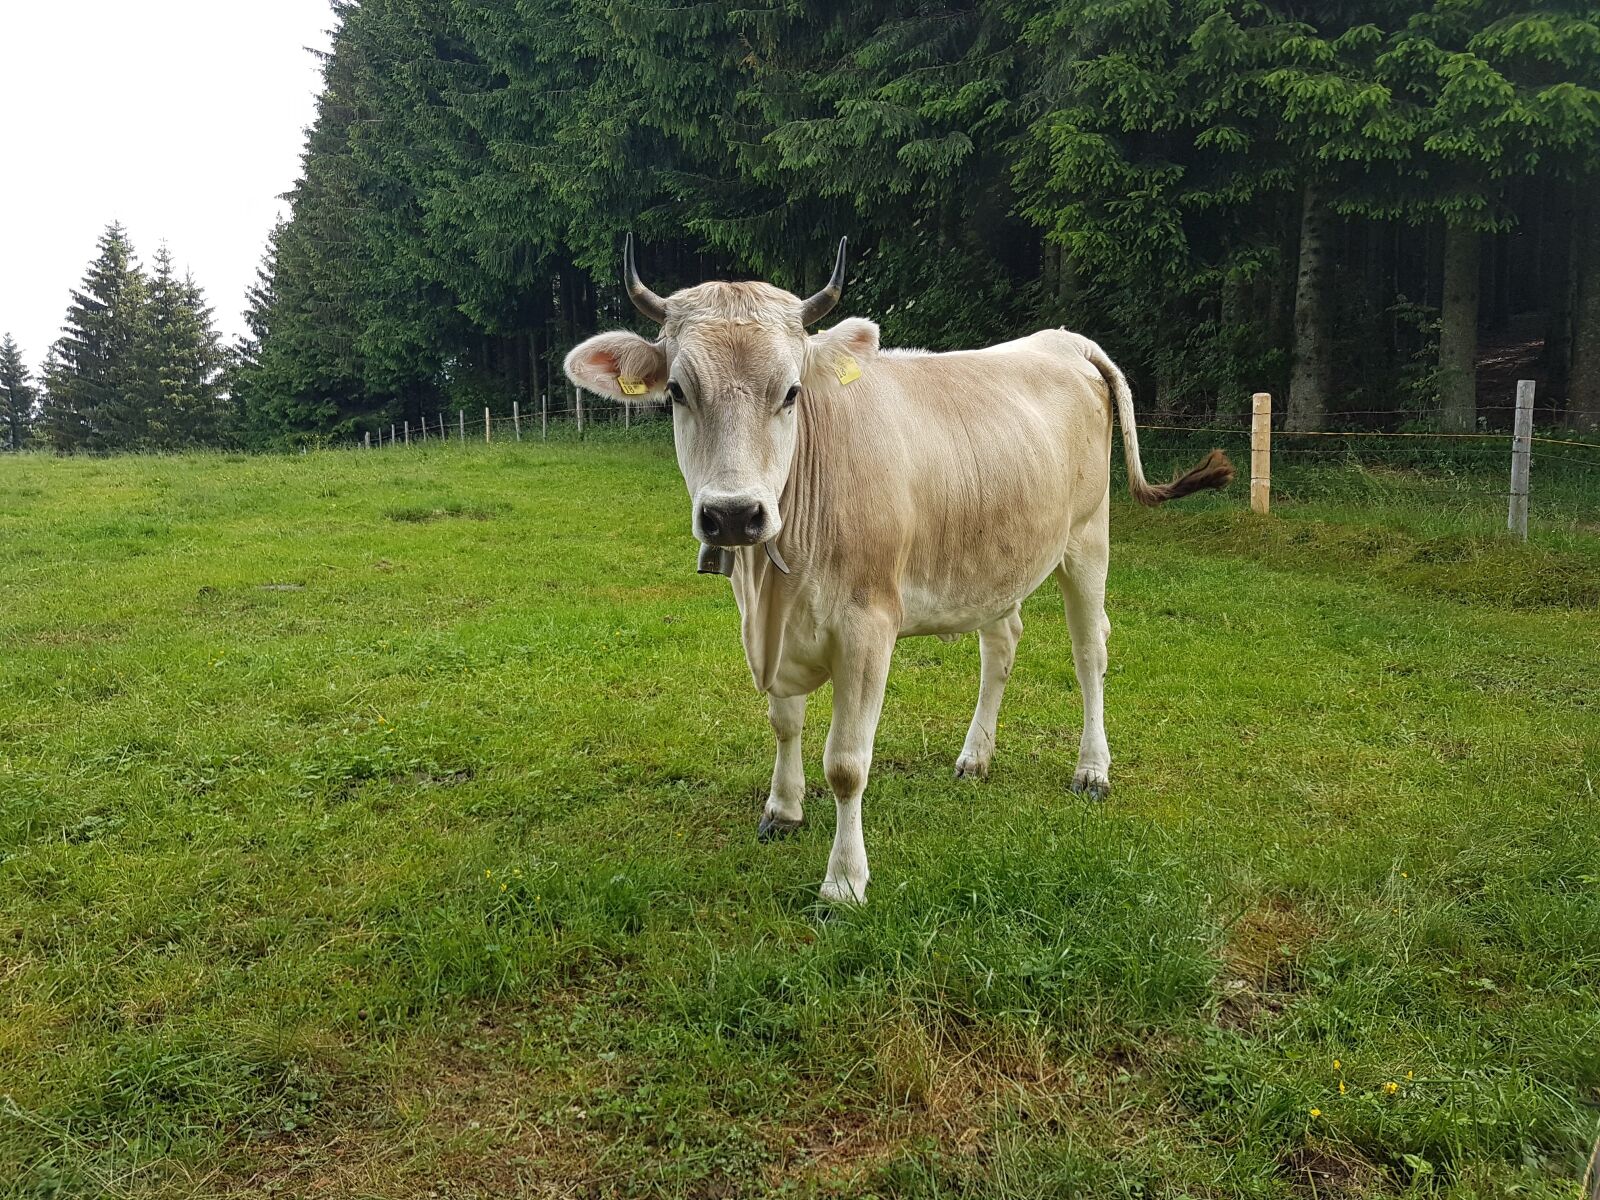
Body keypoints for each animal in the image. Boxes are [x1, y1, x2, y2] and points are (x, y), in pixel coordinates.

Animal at [565, 237, 1233, 904]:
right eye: (678, 391)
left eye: (791, 392)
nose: (733, 515)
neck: (773, 587)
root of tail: (1063, 339)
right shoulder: (770, 626)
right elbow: (784, 723)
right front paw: (782, 810)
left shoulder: (868, 627)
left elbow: (846, 763)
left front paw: (844, 880)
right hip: (995, 557)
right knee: (1002, 644)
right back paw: (976, 757)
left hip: (1089, 539)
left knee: (1090, 649)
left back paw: (1092, 768)